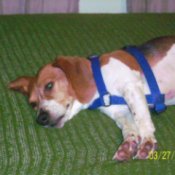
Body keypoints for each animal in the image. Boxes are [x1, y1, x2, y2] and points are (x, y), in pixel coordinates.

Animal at [9, 35, 175, 161]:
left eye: (49, 85)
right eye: (33, 104)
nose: (41, 118)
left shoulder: (131, 86)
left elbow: (141, 118)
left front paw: (147, 141)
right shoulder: (120, 111)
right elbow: (128, 127)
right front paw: (128, 145)